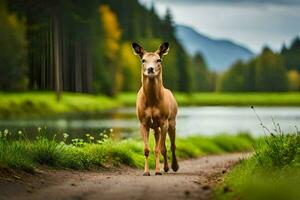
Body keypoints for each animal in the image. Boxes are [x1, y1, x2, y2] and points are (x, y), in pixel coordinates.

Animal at [131, 41, 178, 175]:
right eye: (143, 60)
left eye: (159, 60)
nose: (150, 69)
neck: (152, 102)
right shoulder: (143, 122)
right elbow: (147, 149)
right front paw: (146, 172)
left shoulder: (163, 121)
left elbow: (159, 149)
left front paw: (158, 171)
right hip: (155, 127)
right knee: (163, 145)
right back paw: (165, 168)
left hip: (172, 121)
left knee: (171, 146)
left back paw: (173, 166)